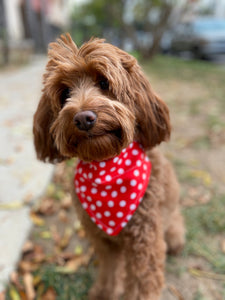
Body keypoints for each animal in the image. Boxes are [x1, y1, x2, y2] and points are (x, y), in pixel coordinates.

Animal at [33, 34, 185, 300]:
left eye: (104, 82)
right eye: (65, 93)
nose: (83, 118)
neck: (107, 167)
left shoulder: (145, 244)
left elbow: (143, 285)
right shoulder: (103, 241)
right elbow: (110, 269)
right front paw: (105, 291)